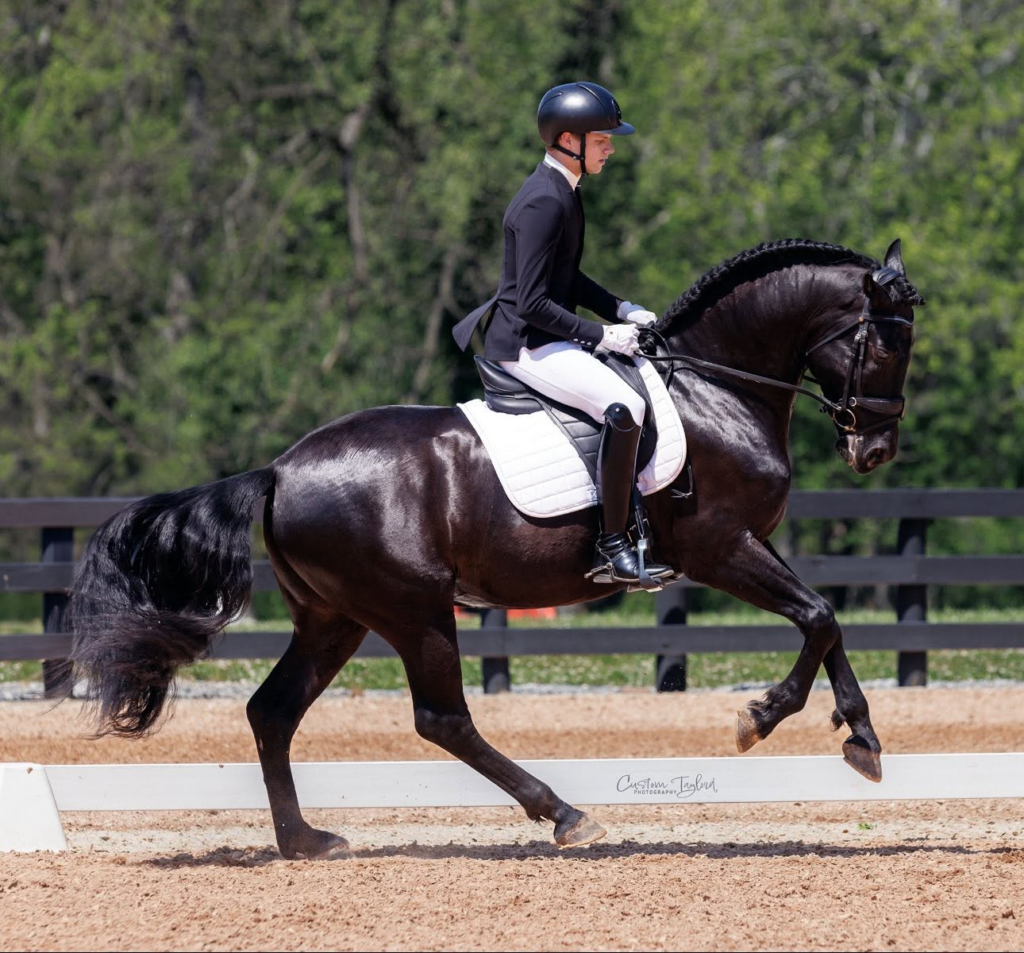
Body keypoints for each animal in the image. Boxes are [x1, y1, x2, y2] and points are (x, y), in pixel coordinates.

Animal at [58, 237, 924, 859]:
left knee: (273, 711)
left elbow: (826, 621)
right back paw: (565, 813)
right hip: (411, 609)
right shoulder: (718, 546)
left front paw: (862, 739)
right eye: (887, 345)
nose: (876, 450)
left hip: (335, 618)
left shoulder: (747, 545)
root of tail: (278, 469)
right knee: (443, 719)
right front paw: (763, 718)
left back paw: (306, 840)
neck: (715, 389)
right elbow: (817, 617)